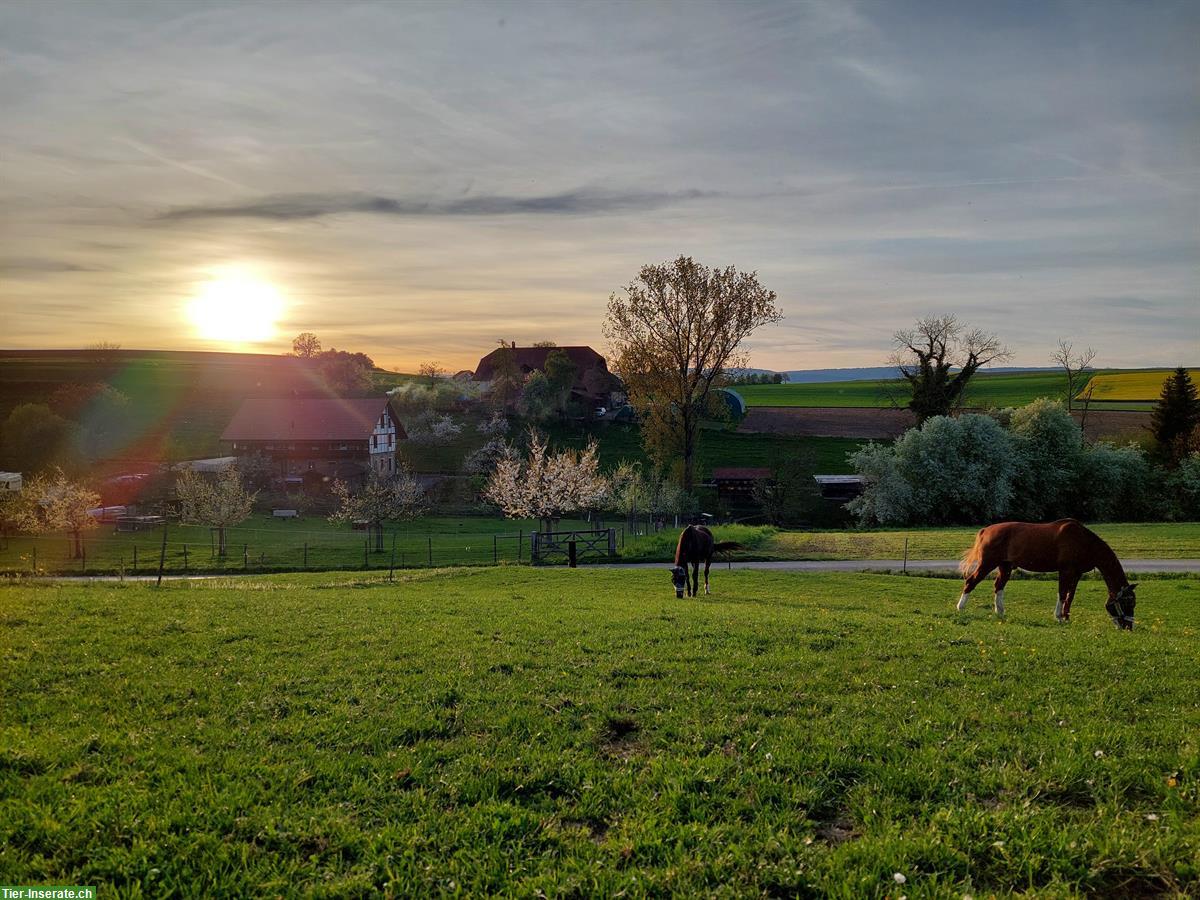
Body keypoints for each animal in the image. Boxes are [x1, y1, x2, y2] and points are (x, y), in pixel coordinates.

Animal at [955, 518, 1132, 628]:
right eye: (1127, 603)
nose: (1128, 626)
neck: (1083, 541)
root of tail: (985, 530)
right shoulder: (1065, 571)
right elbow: (1062, 593)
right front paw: (1058, 617)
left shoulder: (1077, 574)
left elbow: (1070, 596)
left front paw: (1066, 617)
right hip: (987, 564)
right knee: (970, 581)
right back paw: (960, 608)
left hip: (1005, 567)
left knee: (998, 586)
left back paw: (1000, 613)